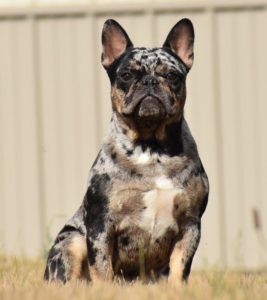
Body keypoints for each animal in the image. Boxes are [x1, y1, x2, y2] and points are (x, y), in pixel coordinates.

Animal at [44, 18, 209, 284]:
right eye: (126, 75)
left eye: (172, 75)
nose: (150, 81)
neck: (152, 149)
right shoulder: (101, 225)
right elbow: (101, 267)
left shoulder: (190, 225)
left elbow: (179, 268)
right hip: (72, 241)